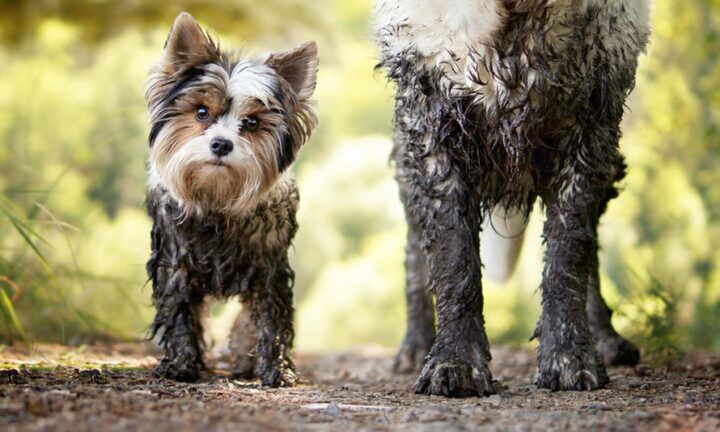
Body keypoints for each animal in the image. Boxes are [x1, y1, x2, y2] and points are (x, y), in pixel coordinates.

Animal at [145, 12, 316, 388]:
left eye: (251, 122)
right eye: (201, 112)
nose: (221, 144)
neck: (217, 199)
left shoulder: (269, 267)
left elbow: (269, 318)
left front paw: (276, 368)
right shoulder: (176, 262)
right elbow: (180, 311)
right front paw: (181, 363)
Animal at [374, 0, 648, 396]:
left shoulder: (592, 121)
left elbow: (569, 257)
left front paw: (568, 357)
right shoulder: (431, 124)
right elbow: (453, 261)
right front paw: (454, 362)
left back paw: (605, 338)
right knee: (415, 252)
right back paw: (415, 346)